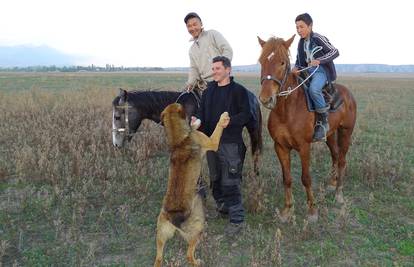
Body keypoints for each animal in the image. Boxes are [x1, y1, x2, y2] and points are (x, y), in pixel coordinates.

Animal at [154, 103, 228, 267]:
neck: (179, 141)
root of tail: (173, 219)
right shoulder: (211, 142)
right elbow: (217, 129)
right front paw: (223, 119)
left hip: (160, 233)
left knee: (158, 258)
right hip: (198, 228)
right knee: (189, 255)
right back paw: (197, 261)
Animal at [258, 36, 358, 224]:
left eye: (282, 62)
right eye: (261, 61)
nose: (266, 99)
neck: (287, 110)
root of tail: (348, 93)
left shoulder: (304, 147)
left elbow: (306, 178)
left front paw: (312, 211)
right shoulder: (280, 147)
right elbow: (287, 178)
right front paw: (287, 210)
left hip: (345, 132)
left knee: (342, 160)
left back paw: (339, 193)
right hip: (329, 134)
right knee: (335, 155)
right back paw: (332, 183)